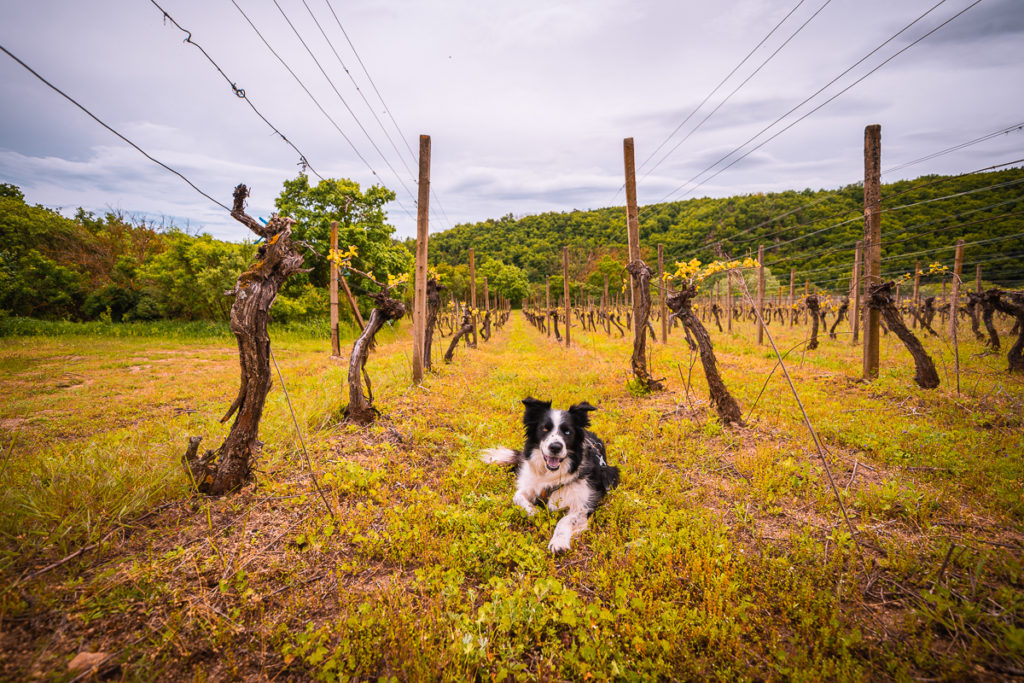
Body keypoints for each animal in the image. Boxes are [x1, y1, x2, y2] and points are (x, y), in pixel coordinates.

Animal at [483, 397, 618, 552]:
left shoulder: (585, 504)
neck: (551, 474)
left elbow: (565, 520)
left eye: (567, 432)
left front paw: (558, 542)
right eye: (545, 429)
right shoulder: (530, 486)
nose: (555, 447)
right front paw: (533, 512)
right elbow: (517, 497)